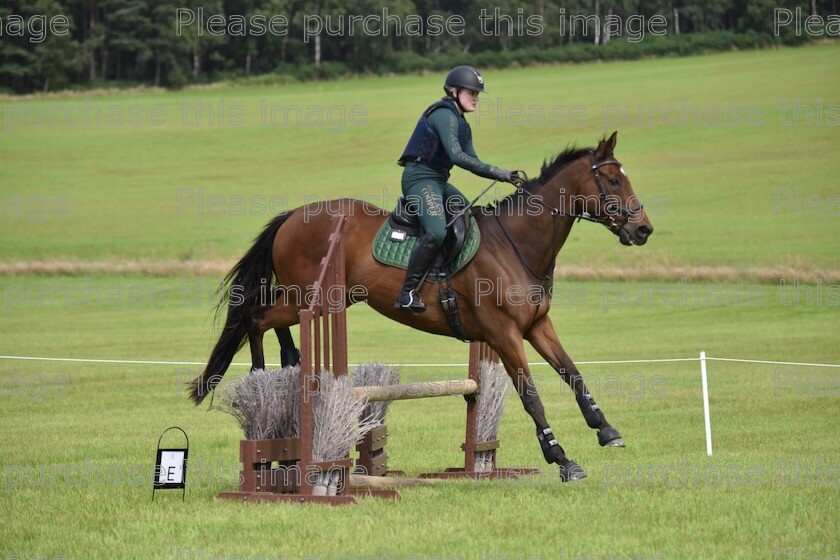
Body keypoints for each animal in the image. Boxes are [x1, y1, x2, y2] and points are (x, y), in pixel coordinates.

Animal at [192, 132, 656, 482]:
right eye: (612, 181)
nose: (643, 229)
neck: (516, 246)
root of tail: (292, 216)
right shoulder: (504, 334)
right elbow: (531, 396)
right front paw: (561, 459)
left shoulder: (537, 326)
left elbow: (573, 374)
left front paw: (606, 430)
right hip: (311, 297)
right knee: (255, 318)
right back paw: (263, 376)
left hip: (316, 297)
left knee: (269, 321)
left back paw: (290, 362)